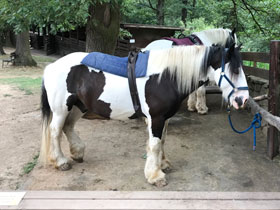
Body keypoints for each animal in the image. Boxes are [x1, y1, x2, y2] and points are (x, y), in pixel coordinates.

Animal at [40, 43, 249, 186]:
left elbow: (162, 141)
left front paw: (162, 165)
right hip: (61, 108)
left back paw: (77, 152)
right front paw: (155, 176)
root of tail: (51, 67)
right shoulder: (155, 118)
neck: (165, 77)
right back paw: (61, 161)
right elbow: (155, 144)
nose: (243, 100)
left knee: (68, 127)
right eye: (235, 69)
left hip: (78, 106)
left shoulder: (164, 118)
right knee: (55, 130)